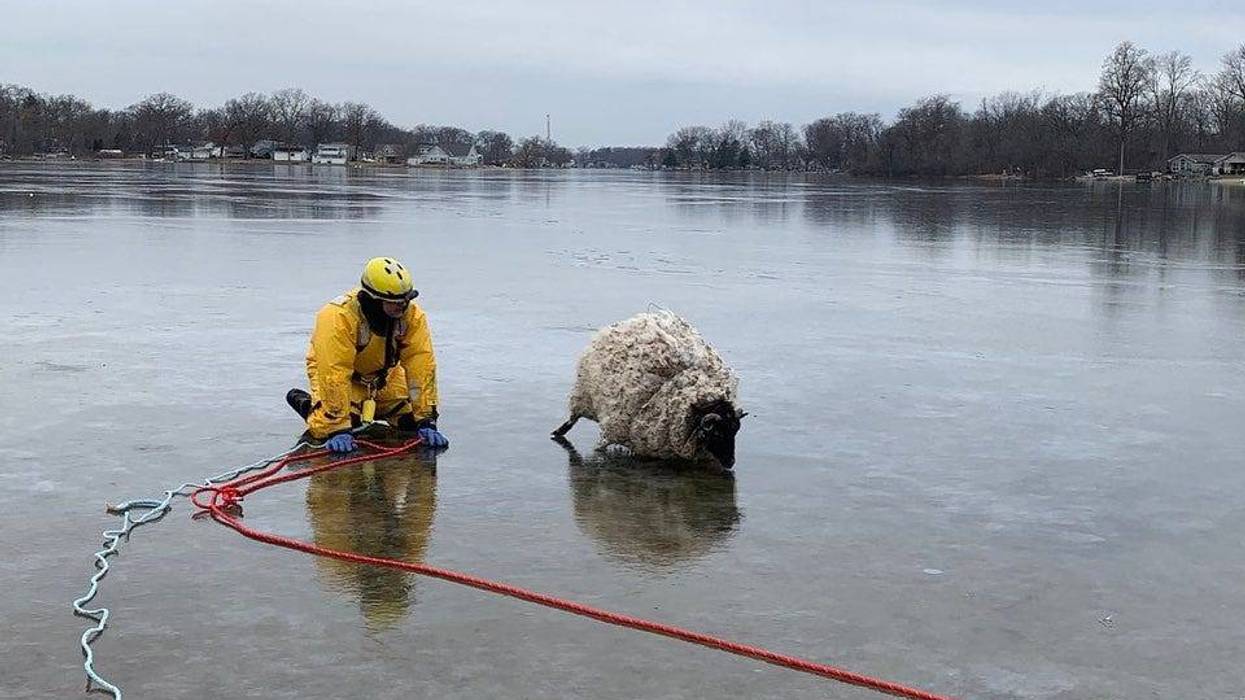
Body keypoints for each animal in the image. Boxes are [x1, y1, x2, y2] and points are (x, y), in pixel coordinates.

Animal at [551, 310, 746, 468]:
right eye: (717, 433)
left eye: (735, 431)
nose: (731, 463)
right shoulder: (612, 430)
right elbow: (599, 448)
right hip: (582, 394)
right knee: (572, 418)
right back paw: (557, 433)